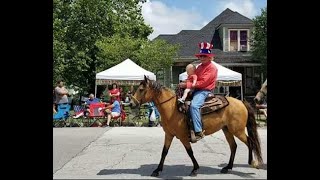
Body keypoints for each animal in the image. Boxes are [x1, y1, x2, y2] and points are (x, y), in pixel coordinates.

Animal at [130, 76, 262, 177]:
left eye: (141, 89)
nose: (131, 104)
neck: (172, 108)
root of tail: (241, 102)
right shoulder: (169, 134)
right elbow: (164, 152)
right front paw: (157, 170)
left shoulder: (183, 136)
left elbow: (190, 152)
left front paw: (195, 169)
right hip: (227, 130)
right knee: (233, 146)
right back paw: (227, 167)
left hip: (237, 130)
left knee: (250, 142)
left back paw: (252, 162)